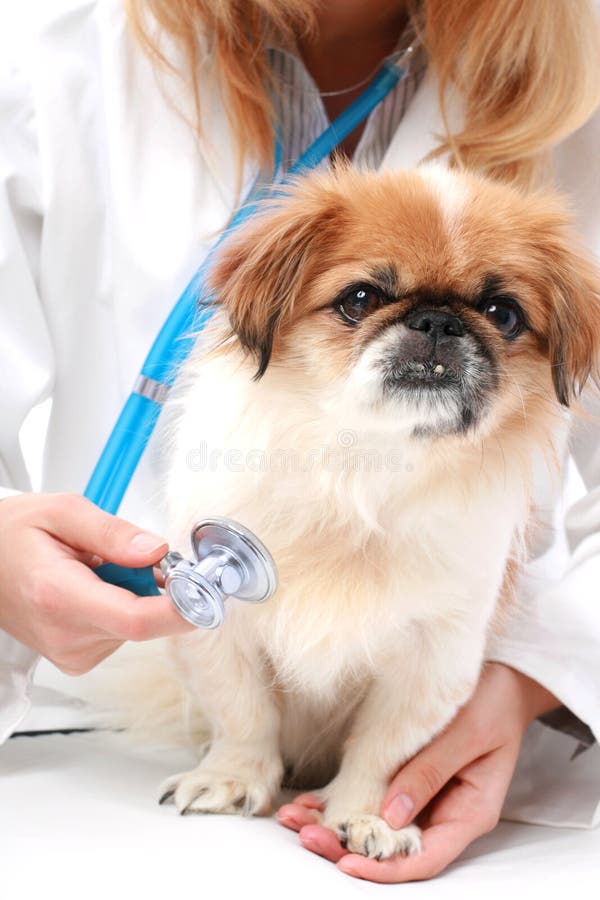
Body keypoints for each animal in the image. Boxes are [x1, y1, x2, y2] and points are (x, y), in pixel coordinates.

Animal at [151, 165, 600, 860]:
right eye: (359, 299)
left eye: (502, 313)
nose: (439, 321)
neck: (363, 468)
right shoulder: (219, 628)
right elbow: (244, 712)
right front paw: (230, 779)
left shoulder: (433, 661)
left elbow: (383, 748)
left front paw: (367, 817)